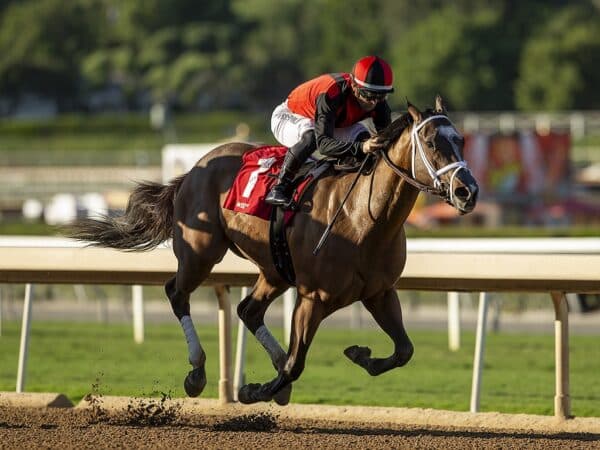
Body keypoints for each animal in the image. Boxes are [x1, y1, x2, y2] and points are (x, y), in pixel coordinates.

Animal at [70, 96, 478, 406]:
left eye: (459, 139)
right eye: (431, 142)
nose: (467, 191)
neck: (365, 217)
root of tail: (194, 168)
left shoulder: (379, 292)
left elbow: (404, 350)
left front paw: (359, 354)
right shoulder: (314, 297)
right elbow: (297, 364)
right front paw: (255, 389)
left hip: (274, 268)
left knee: (247, 310)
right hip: (201, 252)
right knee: (177, 292)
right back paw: (197, 372)